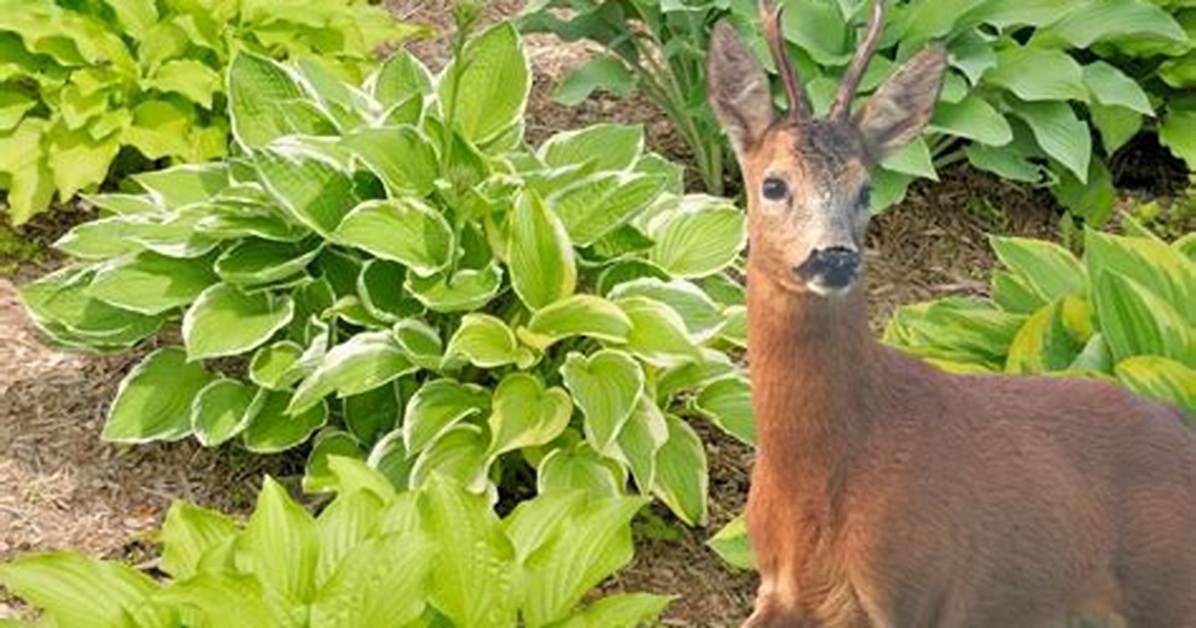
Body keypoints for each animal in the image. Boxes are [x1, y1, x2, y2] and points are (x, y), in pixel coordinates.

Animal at [706, 1, 1196, 626]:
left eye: (866, 189)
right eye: (773, 184)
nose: (834, 256)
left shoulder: (916, 587)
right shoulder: (779, 591)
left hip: (1167, 587)